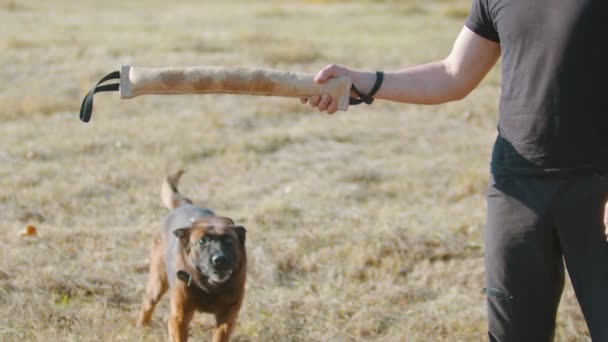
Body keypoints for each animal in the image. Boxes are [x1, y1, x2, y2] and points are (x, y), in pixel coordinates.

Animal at [138, 171, 247, 342]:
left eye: (229, 240)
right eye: (202, 241)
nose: (219, 260)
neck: (210, 288)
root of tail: (184, 205)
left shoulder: (228, 316)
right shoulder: (179, 318)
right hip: (157, 283)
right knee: (148, 303)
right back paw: (141, 328)